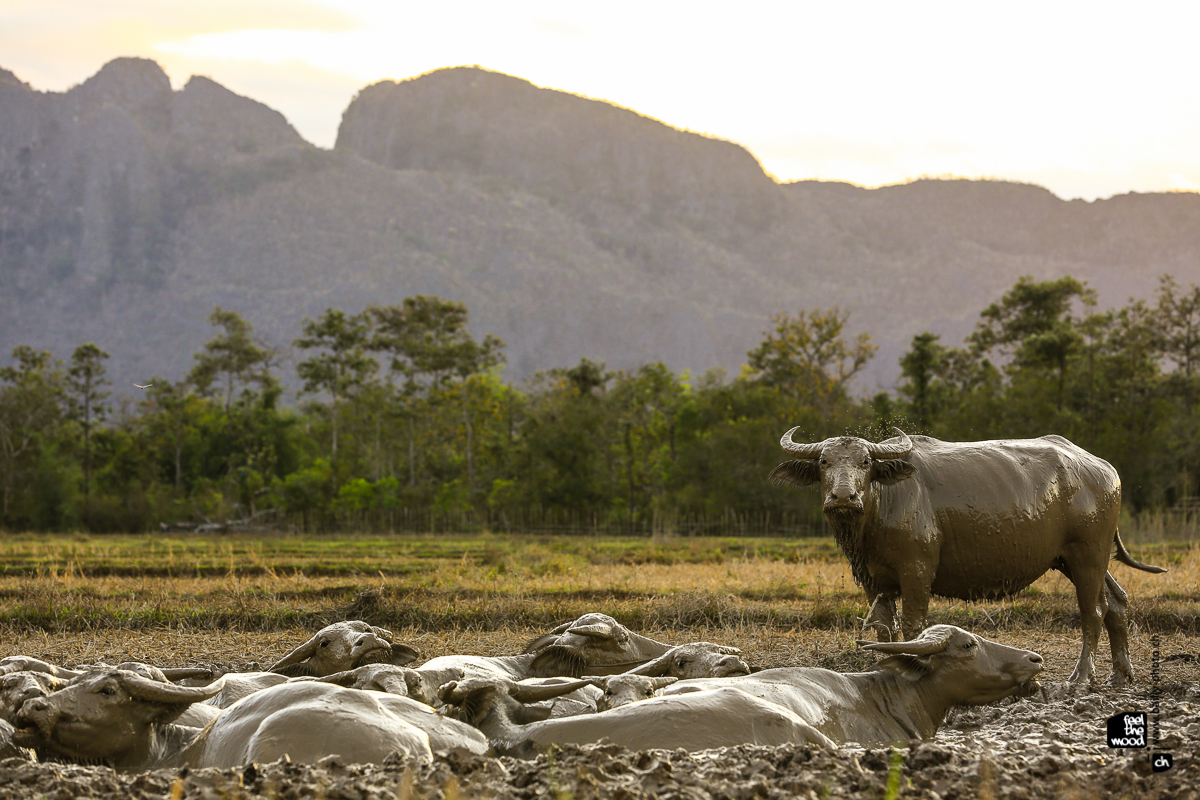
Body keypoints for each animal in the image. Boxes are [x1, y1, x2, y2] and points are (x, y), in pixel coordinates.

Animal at [772, 429, 1166, 686]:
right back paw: (1121, 674)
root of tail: (1104, 469)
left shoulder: (917, 571)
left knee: (1093, 610)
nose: (843, 497)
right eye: (824, 461)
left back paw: (1081, 678)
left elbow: (913, 627)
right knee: (1117, 601)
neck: (879, 509)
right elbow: (884, 629)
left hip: (1087, 553)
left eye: (866, 461)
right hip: (1075, 559)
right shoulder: (874, 580)